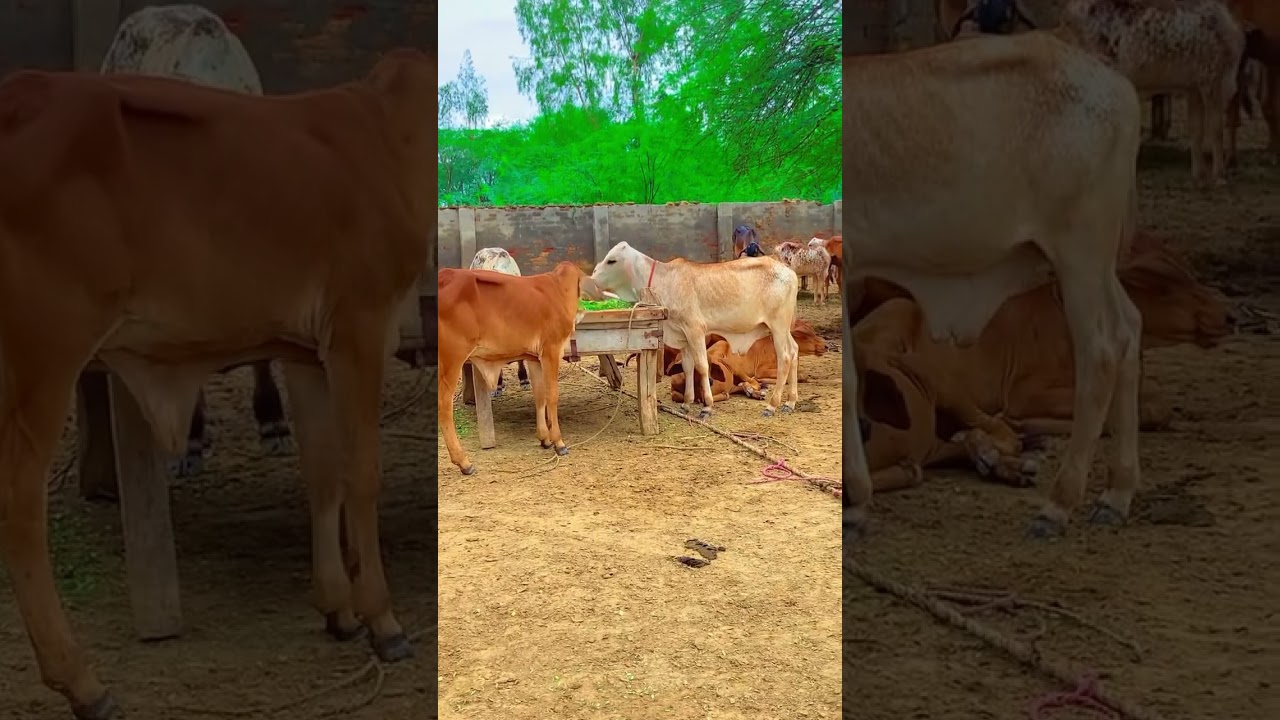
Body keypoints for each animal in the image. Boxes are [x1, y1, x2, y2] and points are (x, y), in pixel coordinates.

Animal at [438, 262, 602, 475]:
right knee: (444, 406)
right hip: (452, 358)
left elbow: (539, 395)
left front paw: (544, 438)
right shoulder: (551, 350)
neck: (559, 289)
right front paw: (558, 442)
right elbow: (552, 395)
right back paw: (464, 462)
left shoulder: (534, 358)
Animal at [590, 242, 800, 418]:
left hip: (778, 326)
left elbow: (702, 365)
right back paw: (790, 402)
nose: (591, 279)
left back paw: (772, 405)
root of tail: (789, 272)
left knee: (785, 358)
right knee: (794, 351)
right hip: (781, 329)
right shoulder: (682, 334)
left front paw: (707, 406)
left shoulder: (695, 329)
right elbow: (687, 366)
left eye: (611, 260)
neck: (664, 280)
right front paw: (687, 402)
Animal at [843, 32, 1144, 543]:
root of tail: (1114, 83)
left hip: (1079, 252)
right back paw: (1117, 494)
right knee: (1131, 328)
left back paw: (1059, 504)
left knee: (1102, 349)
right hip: (1095, 264)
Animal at [854, 238, 1230, 493]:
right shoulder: (1025, 394)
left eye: (1190, 275)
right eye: (1162, 285)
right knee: (992, 431)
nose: (1227, 317)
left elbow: (1154, 404)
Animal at [1056, 0, 1248, 187]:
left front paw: (1199, 176)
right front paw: (1219, 176)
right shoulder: (1211, 79)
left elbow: (1196, 129)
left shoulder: (1193, 87)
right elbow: (1216, 128)